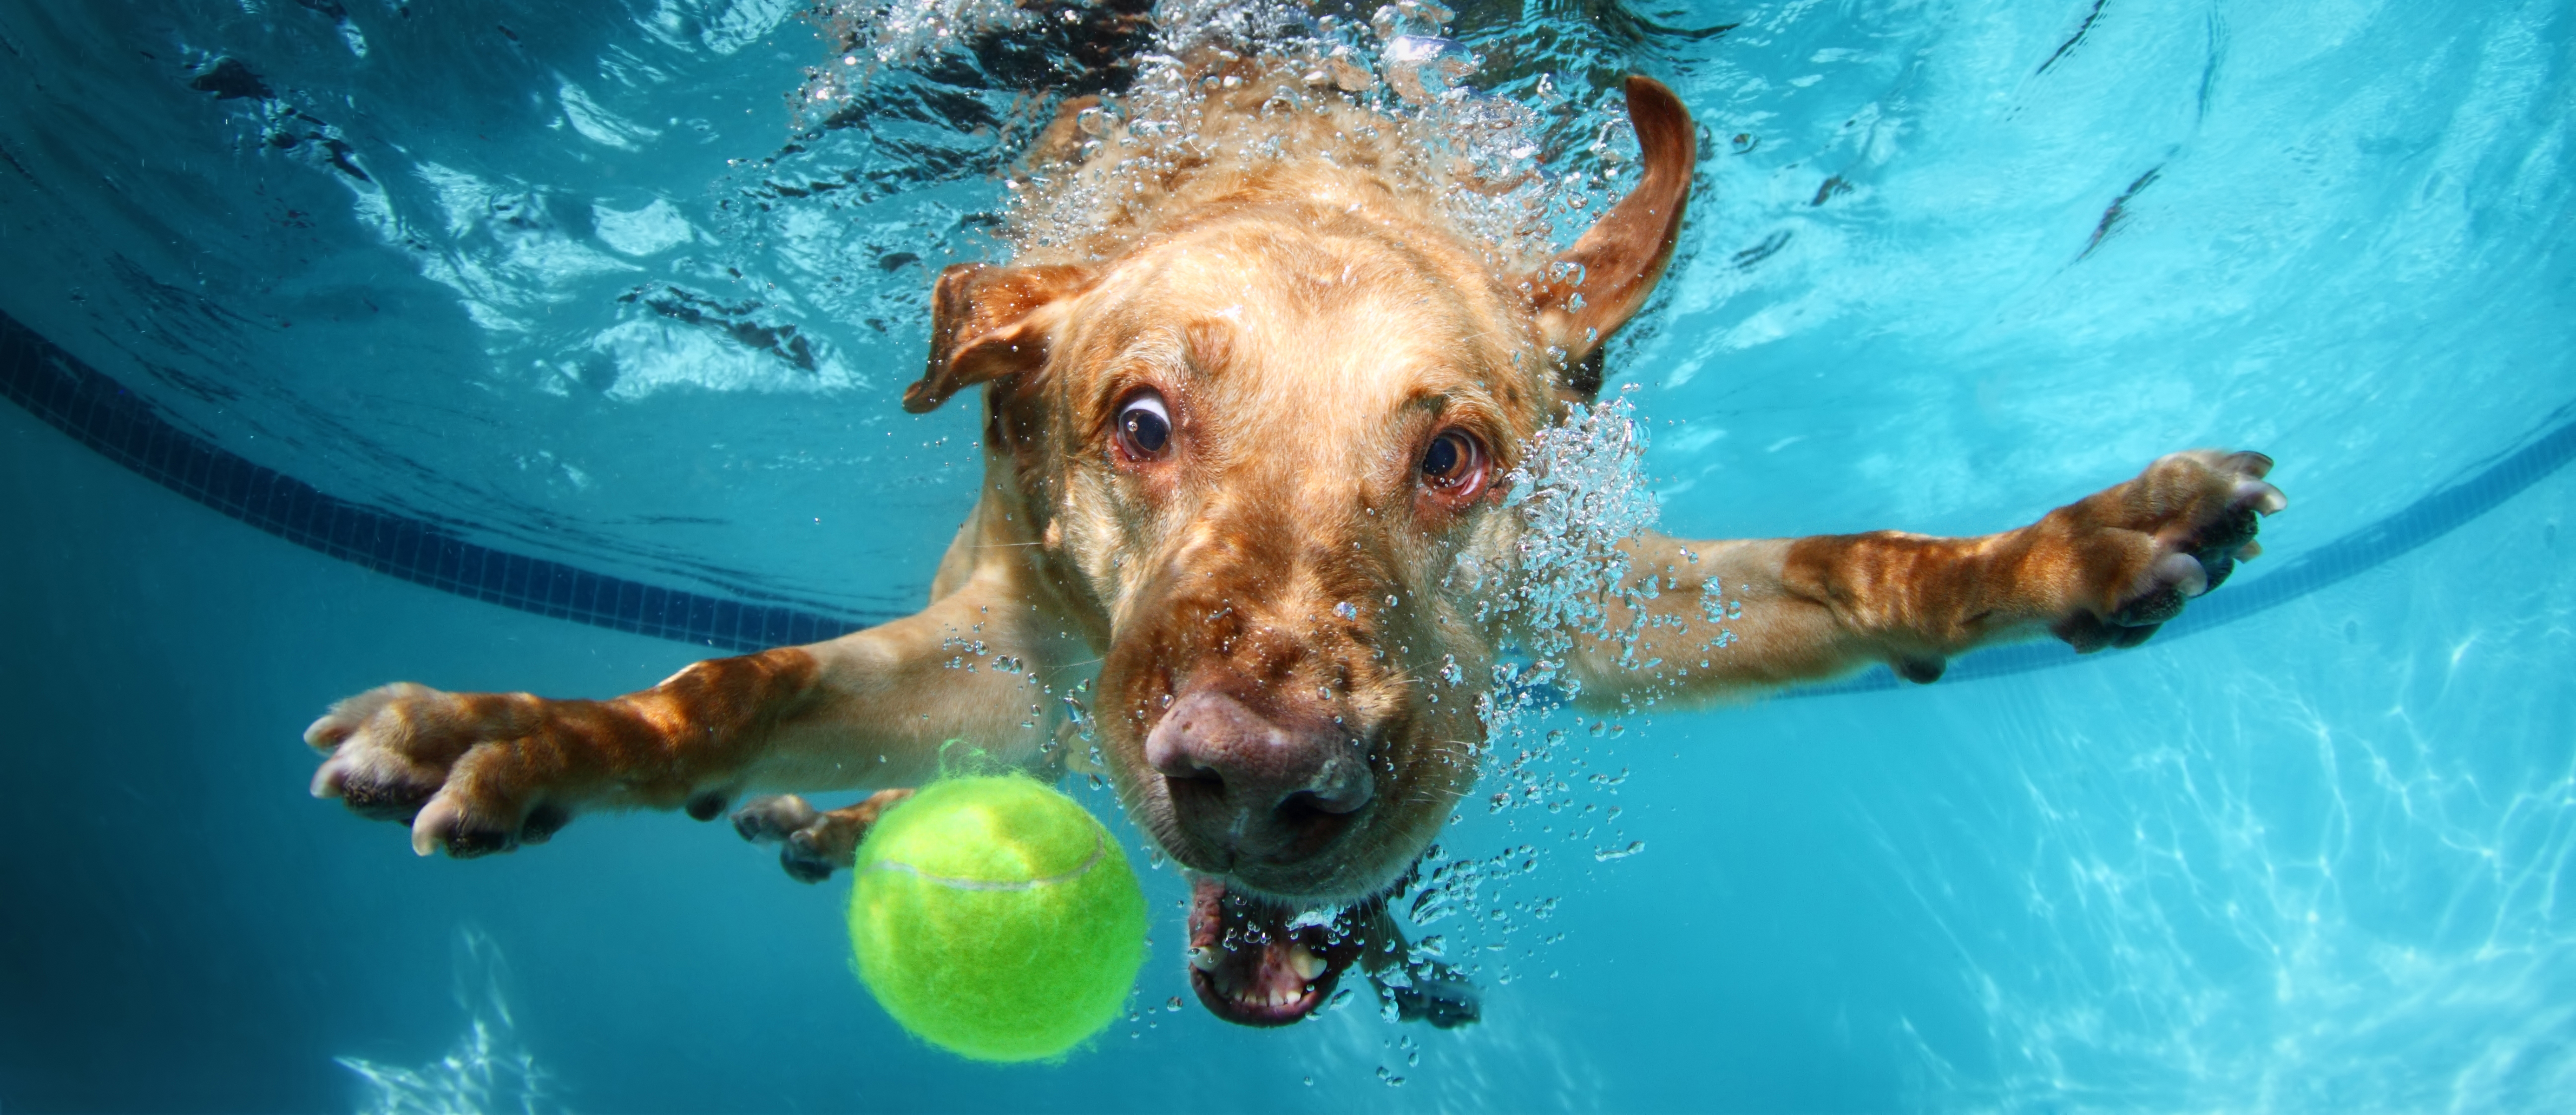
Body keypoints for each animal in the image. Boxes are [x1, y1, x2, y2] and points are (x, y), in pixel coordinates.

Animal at [292, 47, 2287, 1030]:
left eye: (1458, 459)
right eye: (1138, 425)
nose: (1260, 784)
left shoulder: (1603, 611)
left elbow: (1854, 563)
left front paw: (2065, 549)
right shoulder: (992, 651)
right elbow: (737, 684)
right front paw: (528, 737)